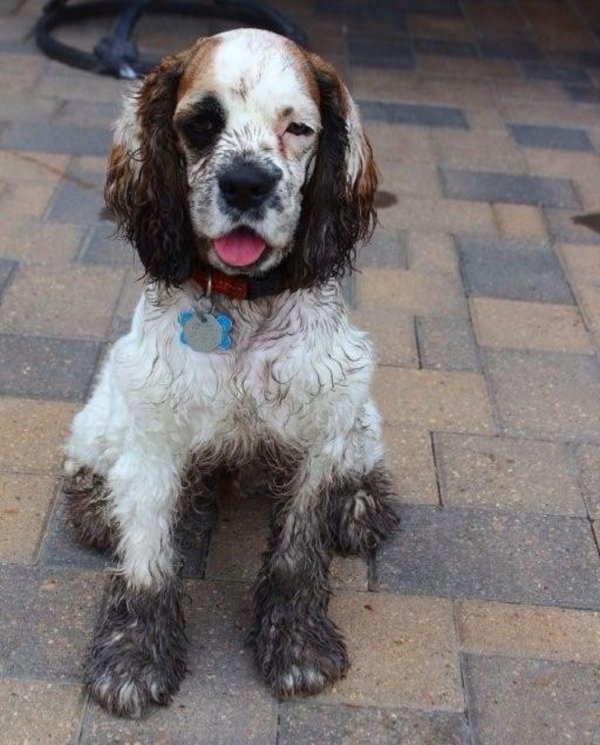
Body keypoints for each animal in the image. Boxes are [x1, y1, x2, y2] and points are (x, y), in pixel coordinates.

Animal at [62, 27, 398, 716]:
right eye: (200, 124)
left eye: (298, 128)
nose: (246, 184)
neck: (244, 307)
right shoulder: (154, 436)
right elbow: (147, 558)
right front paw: (135, 655)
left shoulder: (320, 425)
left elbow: (298, 551)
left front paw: (296, 644)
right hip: (110, 405)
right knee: (87, 458)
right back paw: (94, 505)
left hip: (358, 405)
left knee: (363, 456)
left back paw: (360, 505)